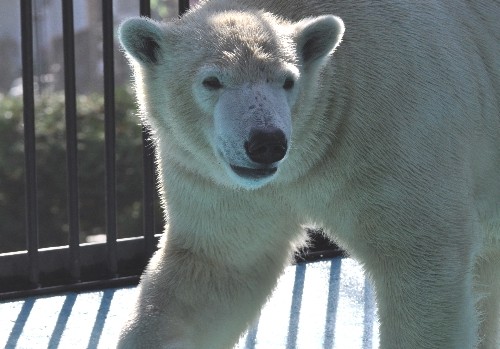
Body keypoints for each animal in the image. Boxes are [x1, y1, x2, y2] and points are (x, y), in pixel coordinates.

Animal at [116, 0, 500, 346]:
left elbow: (421, 263)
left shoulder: (395, 129)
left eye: (287, 81)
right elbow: (216, 265)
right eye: (212, 81)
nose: (266, 143)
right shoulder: (218, 180)